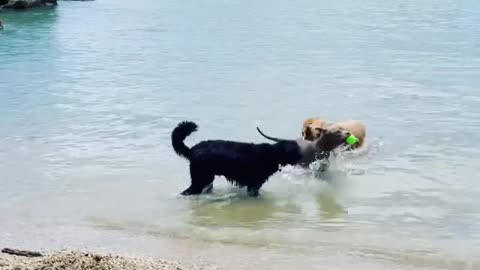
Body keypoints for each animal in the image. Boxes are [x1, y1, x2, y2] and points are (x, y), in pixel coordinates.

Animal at [172, 121, 348, 195]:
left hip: (207, 179)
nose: (304, 157)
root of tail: (192, 150)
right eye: (296, 150)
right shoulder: (253, 183)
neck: (273, 153)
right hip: (200, 178)